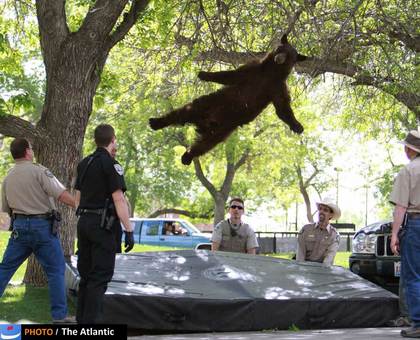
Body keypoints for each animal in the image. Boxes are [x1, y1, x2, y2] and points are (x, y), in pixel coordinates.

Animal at [149, 33, 306, 165]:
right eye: (281, 49)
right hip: (207, 104)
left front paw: (297, 126)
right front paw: (204, 74)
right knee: (181, 113)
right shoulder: (254, 70)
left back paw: (187, 157)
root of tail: (204, 123)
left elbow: (282, 107)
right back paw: (156, 122)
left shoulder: (277, 87)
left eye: (290, 56)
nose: (279, 58)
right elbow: (231, 75)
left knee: (204, 145)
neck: (271, 72)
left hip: (222, 131)